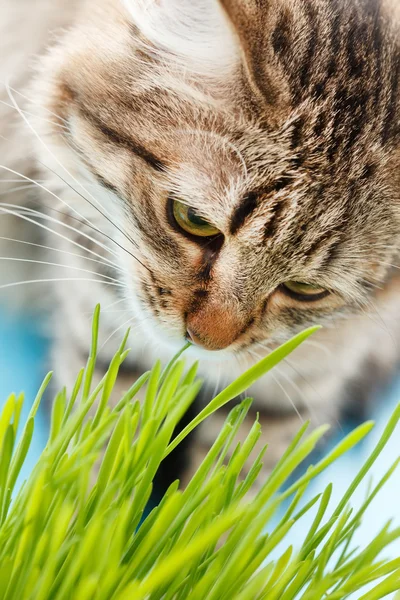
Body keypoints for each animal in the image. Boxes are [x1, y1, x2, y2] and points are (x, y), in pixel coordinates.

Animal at [0, 0, 400, 490]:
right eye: (193, 221)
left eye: (307, 289)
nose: (204, 341)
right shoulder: (102, 326)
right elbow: (96, 458)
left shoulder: (293, 386)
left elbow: (227, 489)